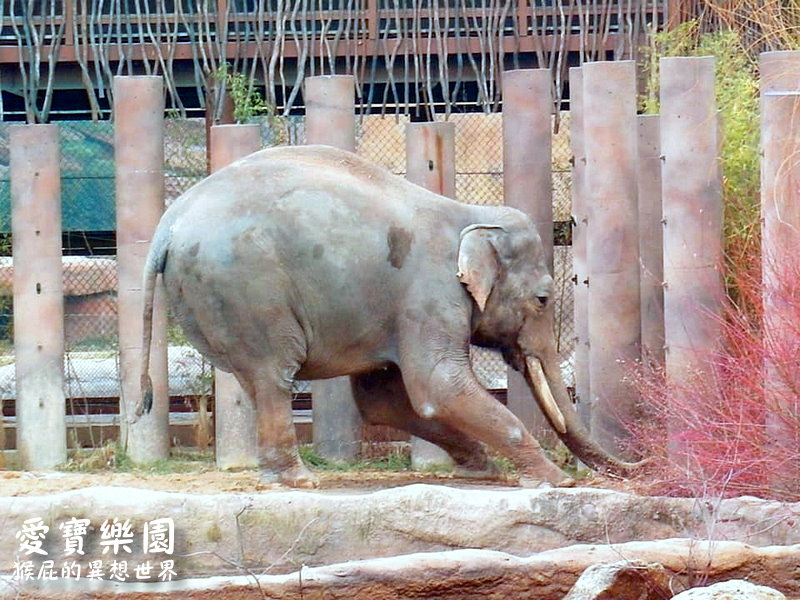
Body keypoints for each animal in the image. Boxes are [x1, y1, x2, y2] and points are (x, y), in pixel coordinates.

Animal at [136, 144, 636, 488]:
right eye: (543, 300)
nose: (637, 465)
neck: (469, 214)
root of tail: (167, 224)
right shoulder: (428, 294)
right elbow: (437, 386)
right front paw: (555, 480)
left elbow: (384, 400)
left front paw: (484, 470)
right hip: (247, 287)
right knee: (274, 375)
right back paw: (299, 480)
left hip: (218, 297)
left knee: (256, 383)